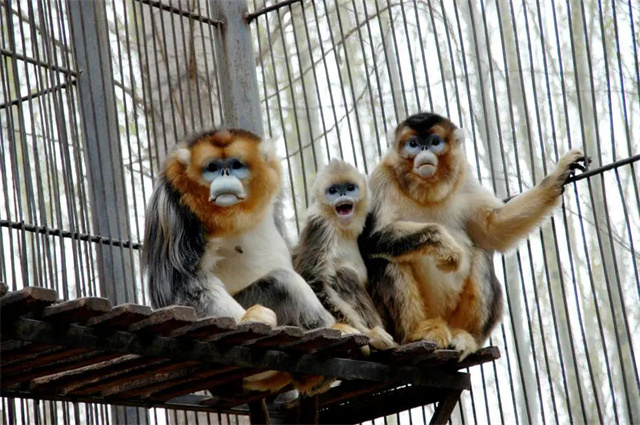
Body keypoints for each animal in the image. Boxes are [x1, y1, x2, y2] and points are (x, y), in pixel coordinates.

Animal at [142, 128, 340, 392]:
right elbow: (183, 283)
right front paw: (250, 320)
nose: (225, 173)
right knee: (284, 279)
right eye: (212, 167)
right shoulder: (170, 205)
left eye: (236, 165)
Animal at [292, 160, 397, 351]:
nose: (342, 194)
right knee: (345, 274)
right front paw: (370, 334)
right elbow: (314, 281)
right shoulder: (321, 226)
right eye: (333, 190)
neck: (340, 227)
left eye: (350, 187)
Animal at [360, 112, 588, 359]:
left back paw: (464, 336)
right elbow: (370, 241)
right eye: (412, 144)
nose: (423, 149)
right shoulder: (381, 178)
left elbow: (493, 228)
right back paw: (419, 332)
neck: (426, 190)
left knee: (481, 255)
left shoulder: (463, 177)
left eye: (434, 141)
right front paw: (444, 244)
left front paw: (557, 176)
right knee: (385, 260)